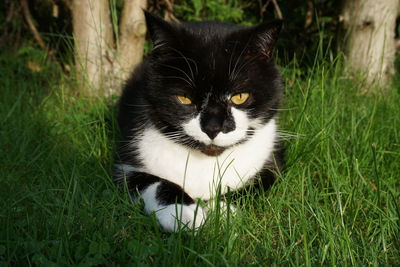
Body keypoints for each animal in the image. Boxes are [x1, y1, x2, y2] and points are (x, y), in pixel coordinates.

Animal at [113, 11, 284, 232]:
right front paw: (183, 214)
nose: (213, 128)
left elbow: (253, 186)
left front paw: (221, 211)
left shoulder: (271, 161)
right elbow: (153, 182)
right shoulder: (128, 164)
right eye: (184, 98)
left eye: (239, 97)